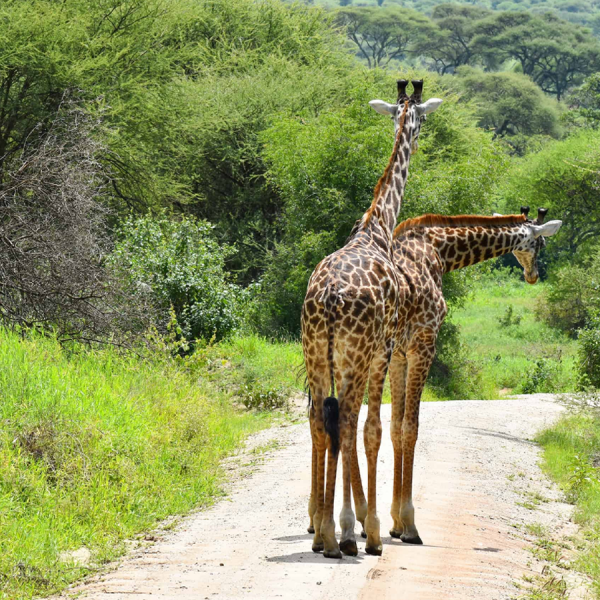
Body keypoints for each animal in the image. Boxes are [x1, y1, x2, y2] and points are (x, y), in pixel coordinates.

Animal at [302, 78, 442, 556]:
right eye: (421, 120)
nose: (418, 137)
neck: (376, 227)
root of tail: (327, 297)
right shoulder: (384, 350)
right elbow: (374, 429)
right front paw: (373, 527)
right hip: (355, 353)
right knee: (345, 422)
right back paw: (344, 534)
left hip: (315, 353)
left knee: (321, 421)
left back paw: (324, 534)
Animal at [346, 206, 564, 548]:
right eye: (540, 244)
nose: (533, 276)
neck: (438, 251)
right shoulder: (423, 345)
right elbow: (410, 428)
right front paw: (409, 525)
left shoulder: (400, 354)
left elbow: (396, 428)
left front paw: (394, 523)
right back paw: (358, 520)